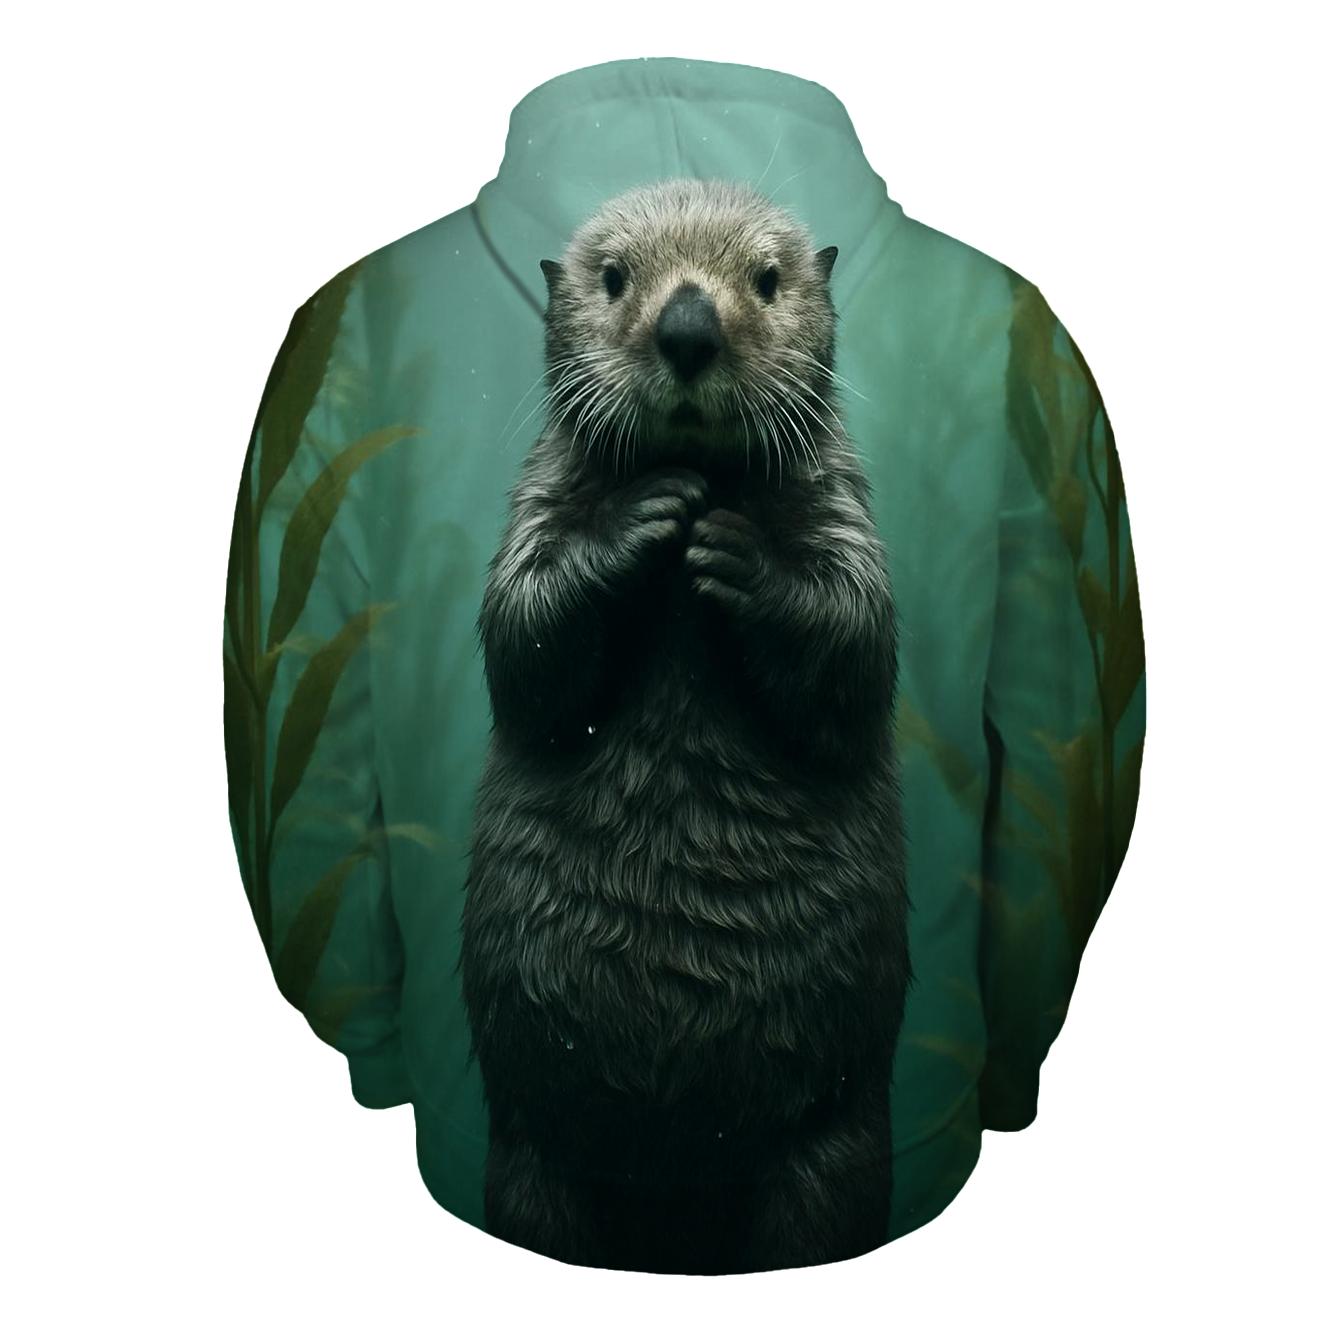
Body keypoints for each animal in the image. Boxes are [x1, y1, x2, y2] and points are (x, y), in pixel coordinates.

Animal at [460, 178, 910, 1274]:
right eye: (615, 276)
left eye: (768, 277)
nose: (689, 327)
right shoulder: (536, 504)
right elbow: (524, 645)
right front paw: (646, 514)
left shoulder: (844, 513)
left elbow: (853, 652)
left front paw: (733, 547)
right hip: (529, 1156)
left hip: (833, 1148)